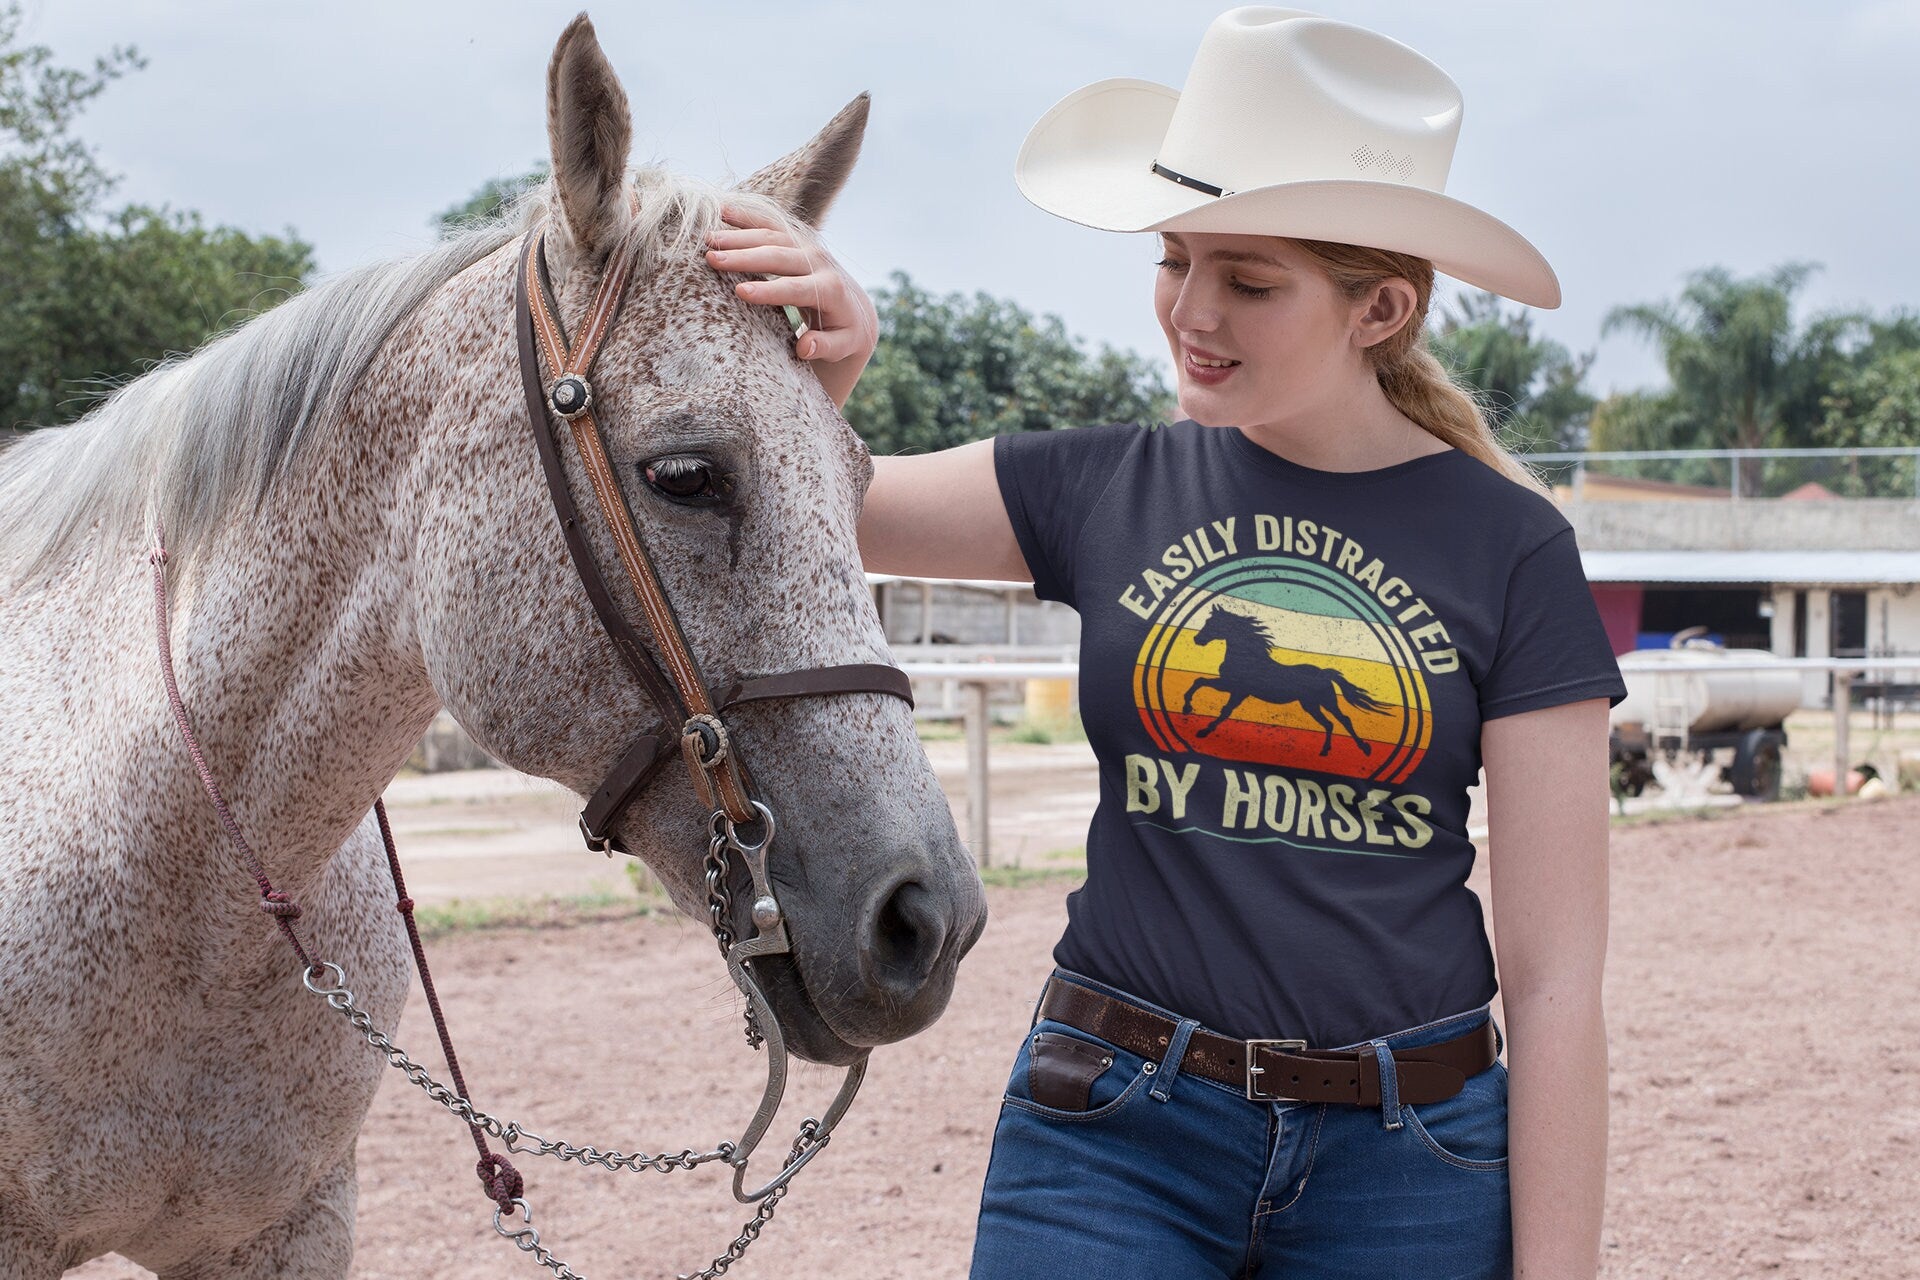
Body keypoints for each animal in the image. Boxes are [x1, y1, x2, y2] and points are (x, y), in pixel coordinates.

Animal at [1181, 604, 1390, 755]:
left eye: (1213, 623)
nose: (1197, 639)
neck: (1246, 656)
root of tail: (1324, 673)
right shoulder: (1230, 686)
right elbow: (1200, 681)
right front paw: (1187, 709)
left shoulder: (1237, 689)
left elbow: (1223, 708)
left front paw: (1202, 729)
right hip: (1311, 704)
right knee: (1329, 723)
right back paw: (1325, 751)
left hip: (1326, 701)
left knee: (1343, 720)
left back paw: (1364, 748)